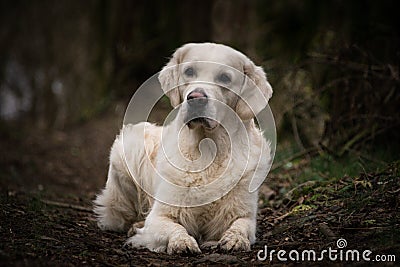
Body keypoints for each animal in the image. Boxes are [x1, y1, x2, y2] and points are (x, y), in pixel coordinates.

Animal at [94, 43, 274, 255]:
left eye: (225, 78)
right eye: (189, 71)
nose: (195, 97)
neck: (208, 149)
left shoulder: (243, 213)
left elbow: (241, 225)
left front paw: (235, 239)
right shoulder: (161, 215)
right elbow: (173, 227)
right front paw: (182, 242)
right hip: (128, 147)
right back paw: (136, 226)